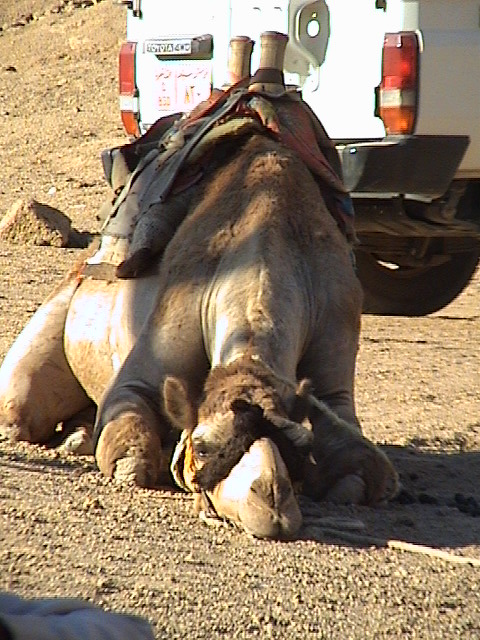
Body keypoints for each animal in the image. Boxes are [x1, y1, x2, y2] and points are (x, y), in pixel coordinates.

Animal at [0, 33, 398, 540]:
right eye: (205, 446)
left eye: (296, 445)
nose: (270, 498)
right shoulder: (159, 344)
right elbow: (131, 440)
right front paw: (131, 462)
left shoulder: (333, 350)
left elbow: (360, 466)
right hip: (59, 312)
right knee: (19, 407)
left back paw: (78, 435)